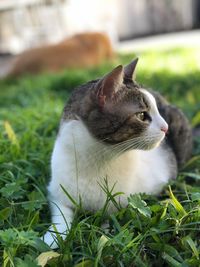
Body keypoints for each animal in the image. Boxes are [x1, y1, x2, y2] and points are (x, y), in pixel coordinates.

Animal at [43, 59, 193, 249]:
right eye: (142, 115)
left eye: (157, 111)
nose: (166, 128)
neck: (97, 159)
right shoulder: (57, 191)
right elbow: (61, 213)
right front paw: (53, 237)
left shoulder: (126, 200)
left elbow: (108, 220)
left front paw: (104, 236)